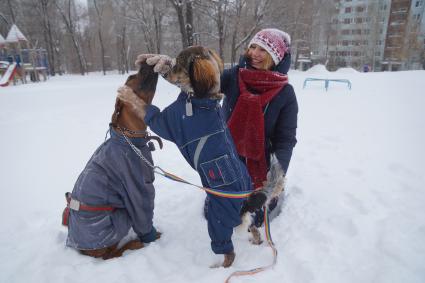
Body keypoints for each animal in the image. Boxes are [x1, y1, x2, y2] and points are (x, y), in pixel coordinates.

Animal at [62, 63, 161, 260]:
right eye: (131, 77)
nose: (144, 62)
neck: (129, 139)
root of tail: (81, 249)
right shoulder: (137, 187)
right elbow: (143, 213)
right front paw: (152, 239)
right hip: (118, 218)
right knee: (110, 255)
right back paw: (133, 244)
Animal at [117, 46, 272, 268]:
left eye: (179, 66)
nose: (164, 69)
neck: (202, 99)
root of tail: (244, 201)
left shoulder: (165, 121)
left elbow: (144, 107)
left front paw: (126, 93)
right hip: (237, 219)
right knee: (255, 230)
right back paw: (256, 243)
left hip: (218, 220)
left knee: (229, 253)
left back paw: (218, 268)